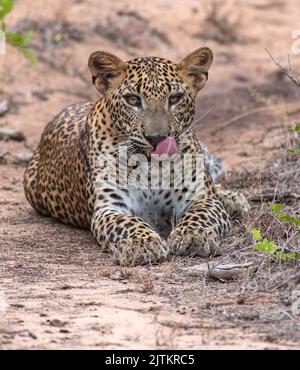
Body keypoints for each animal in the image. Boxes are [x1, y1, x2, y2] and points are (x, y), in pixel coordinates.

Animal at [23, 47, 250, 266]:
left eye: (174, 98)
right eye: (133, 99)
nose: (157, 138)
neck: (152, 168)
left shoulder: (202, 197)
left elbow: (201, 214)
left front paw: (193, 235)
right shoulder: (110, 208)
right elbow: (127, 223)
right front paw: (141, 244)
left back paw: (234, 200)